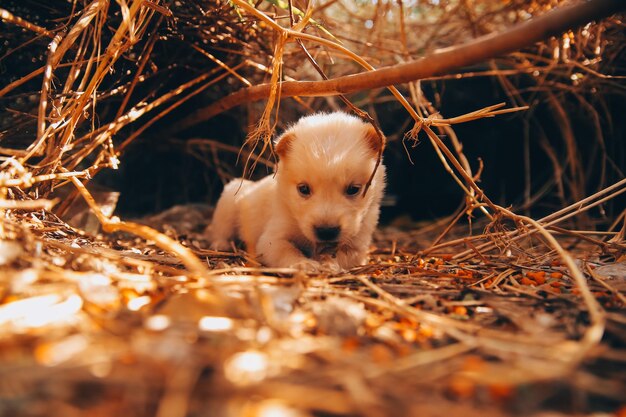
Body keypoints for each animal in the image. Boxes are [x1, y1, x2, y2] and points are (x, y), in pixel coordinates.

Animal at [207, 112, 382, 272]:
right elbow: (287, 250)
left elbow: (343, 255)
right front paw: (303, 264)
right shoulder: (272, 239)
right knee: (220, 229)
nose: (326, 231)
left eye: (353, 189)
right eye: (303, 189)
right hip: (228, 201)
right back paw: (220, 244)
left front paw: (329, 264)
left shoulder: (359, 246)